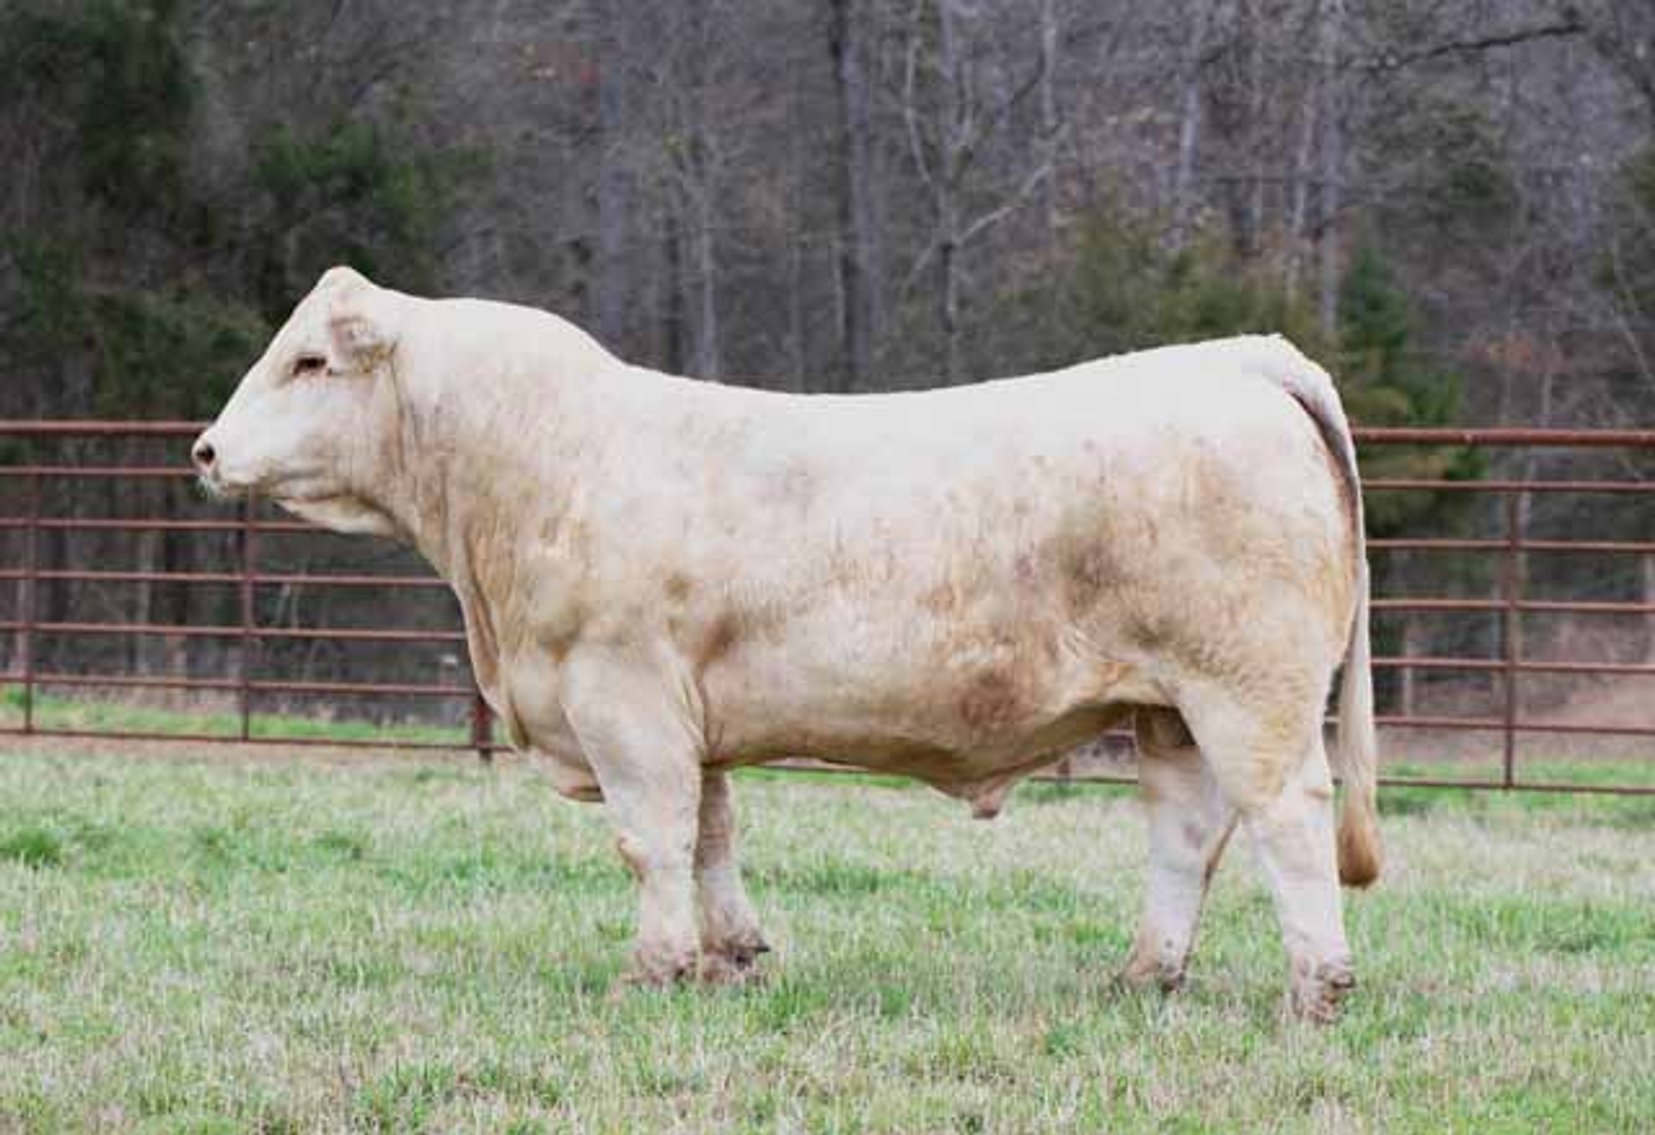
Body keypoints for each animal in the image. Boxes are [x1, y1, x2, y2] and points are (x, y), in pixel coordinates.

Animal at [194, 266, 1381, 1021]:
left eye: (308, 361)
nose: (204, 449)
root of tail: (1239, 360)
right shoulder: (688, 717)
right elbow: (711, 837)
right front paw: (730, 960)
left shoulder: (622, 699)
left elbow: (651, 840)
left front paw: (652, 970)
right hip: (1170, 707)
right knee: (1185, 833)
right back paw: (1142, 977)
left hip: (1247, 689)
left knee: (1285, 818)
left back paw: (1314, 988)